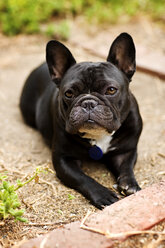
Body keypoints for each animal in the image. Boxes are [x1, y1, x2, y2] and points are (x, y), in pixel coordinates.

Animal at [20, 32, 142, 208]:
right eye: (69, 93)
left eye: (111, 90)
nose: (88, 103)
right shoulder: (64, 159)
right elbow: (82, 178)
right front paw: (103, 194)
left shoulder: (126, 151)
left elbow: (127, 167)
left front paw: (130, 184)